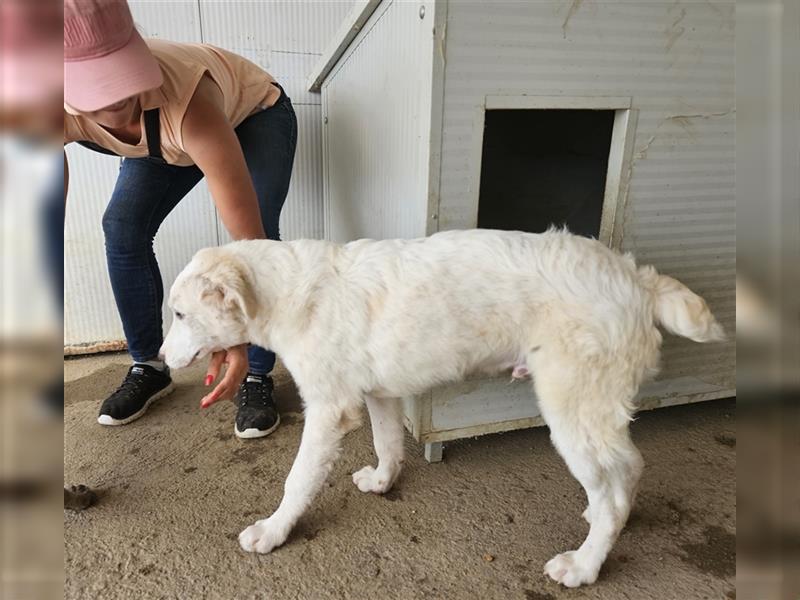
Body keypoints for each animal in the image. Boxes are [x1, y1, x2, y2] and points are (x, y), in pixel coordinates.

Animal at [159, 229, 720, 584]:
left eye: (181, 315)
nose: (160, 359)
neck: (289, 292)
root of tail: (637, 279)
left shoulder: (329, 408)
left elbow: (297, 480)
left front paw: (273, 531)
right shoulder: (378, 394)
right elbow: (388, 442)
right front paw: (383, 482)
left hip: (573, 407)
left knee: (616, 486)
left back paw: (584, 566)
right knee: (627, 468)